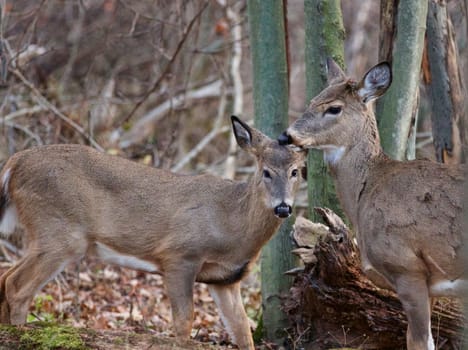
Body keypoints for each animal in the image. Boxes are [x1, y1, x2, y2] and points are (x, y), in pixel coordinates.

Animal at [0, 117, 308, 350]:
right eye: (266, 172)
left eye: (296, 171)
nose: (283, 207)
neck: (231, 224)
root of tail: (14, 163)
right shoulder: (180, 255)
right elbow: (184, 322)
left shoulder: (225, 279)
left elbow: (242, 330)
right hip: (59, 231)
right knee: (17, 286)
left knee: (6, 278)